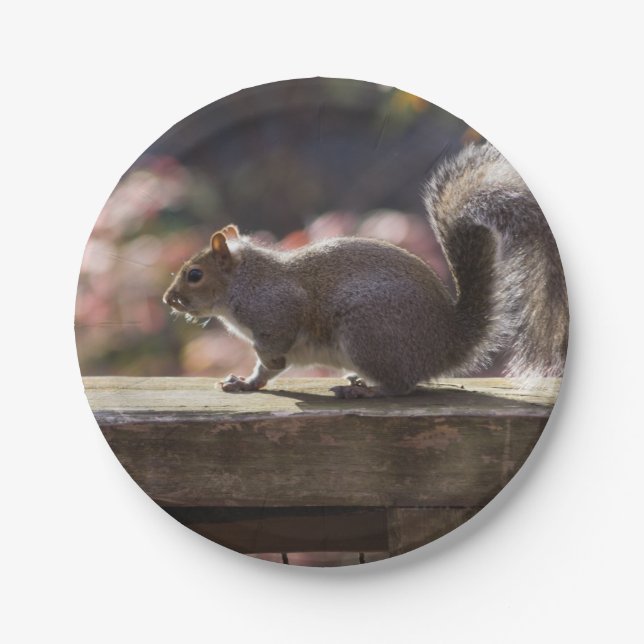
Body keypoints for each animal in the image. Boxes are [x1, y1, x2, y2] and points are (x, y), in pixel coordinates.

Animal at [163, 142, 568, 398]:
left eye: (195, 274)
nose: (169, 299)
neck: (243, 281)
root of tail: (449, 341)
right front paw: (248, 382)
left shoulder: (275, 312)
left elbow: (272, 356)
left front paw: (255, 376)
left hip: (367, 332)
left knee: (401, 387)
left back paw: (362, 391)